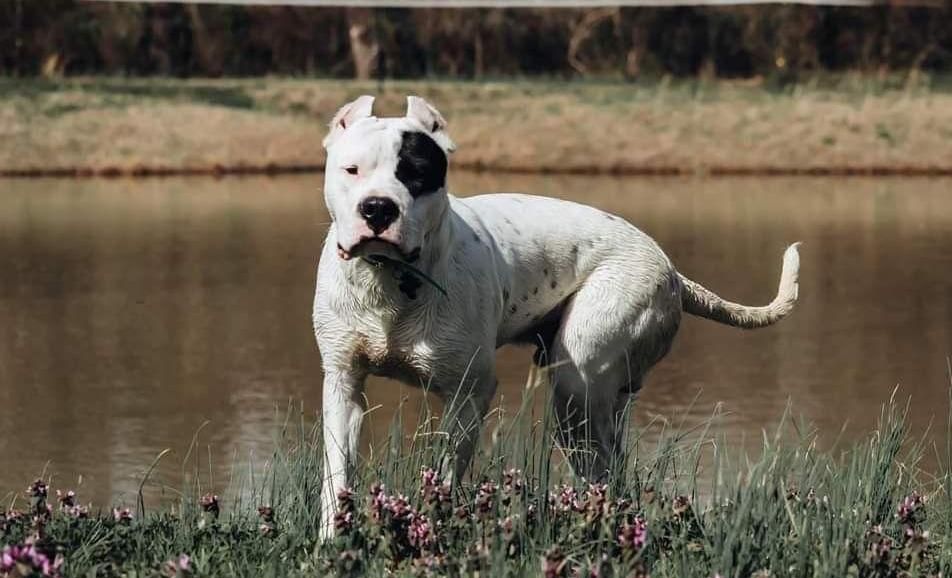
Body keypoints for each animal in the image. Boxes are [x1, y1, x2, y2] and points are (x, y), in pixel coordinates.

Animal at [312, 94, 796, 536]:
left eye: (415, 173)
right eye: (351, 170)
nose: (378, 207)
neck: (389, 281)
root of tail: (673, 271)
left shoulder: (468, 393)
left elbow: (445, 474)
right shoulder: (343, 386)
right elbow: (336, 475)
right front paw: (333, 538)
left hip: (579, 386)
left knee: (604, 469)